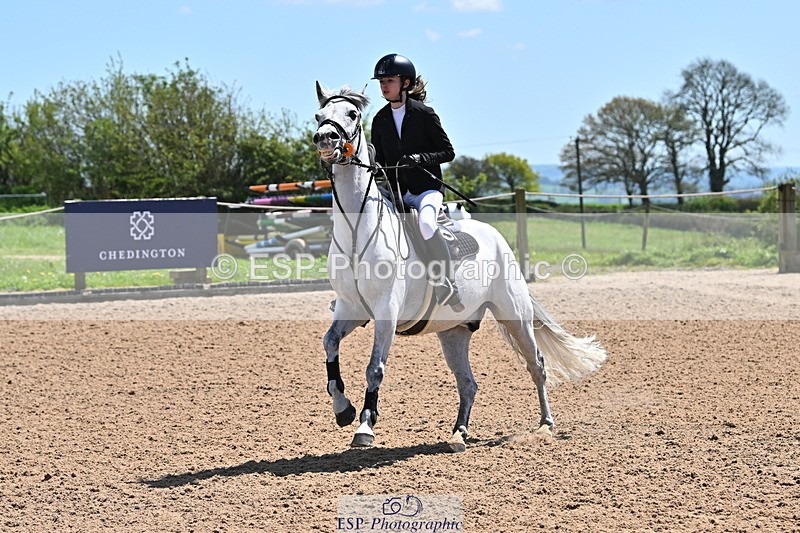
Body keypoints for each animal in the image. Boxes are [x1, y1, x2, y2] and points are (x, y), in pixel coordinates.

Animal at [313, 82, 606, 451]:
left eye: (352, 114)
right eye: (319, 116)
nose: (325, 139)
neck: (356, 231)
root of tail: (495, 235)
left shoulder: (386, 312)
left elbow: (375, 367)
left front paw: (365, 426)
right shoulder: (351, 309)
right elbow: (329, 344)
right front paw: (343, 409)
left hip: (514, 314)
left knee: (536, 364)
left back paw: (544, 425)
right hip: (454, 331)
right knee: (468, 382)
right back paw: (458, 434)